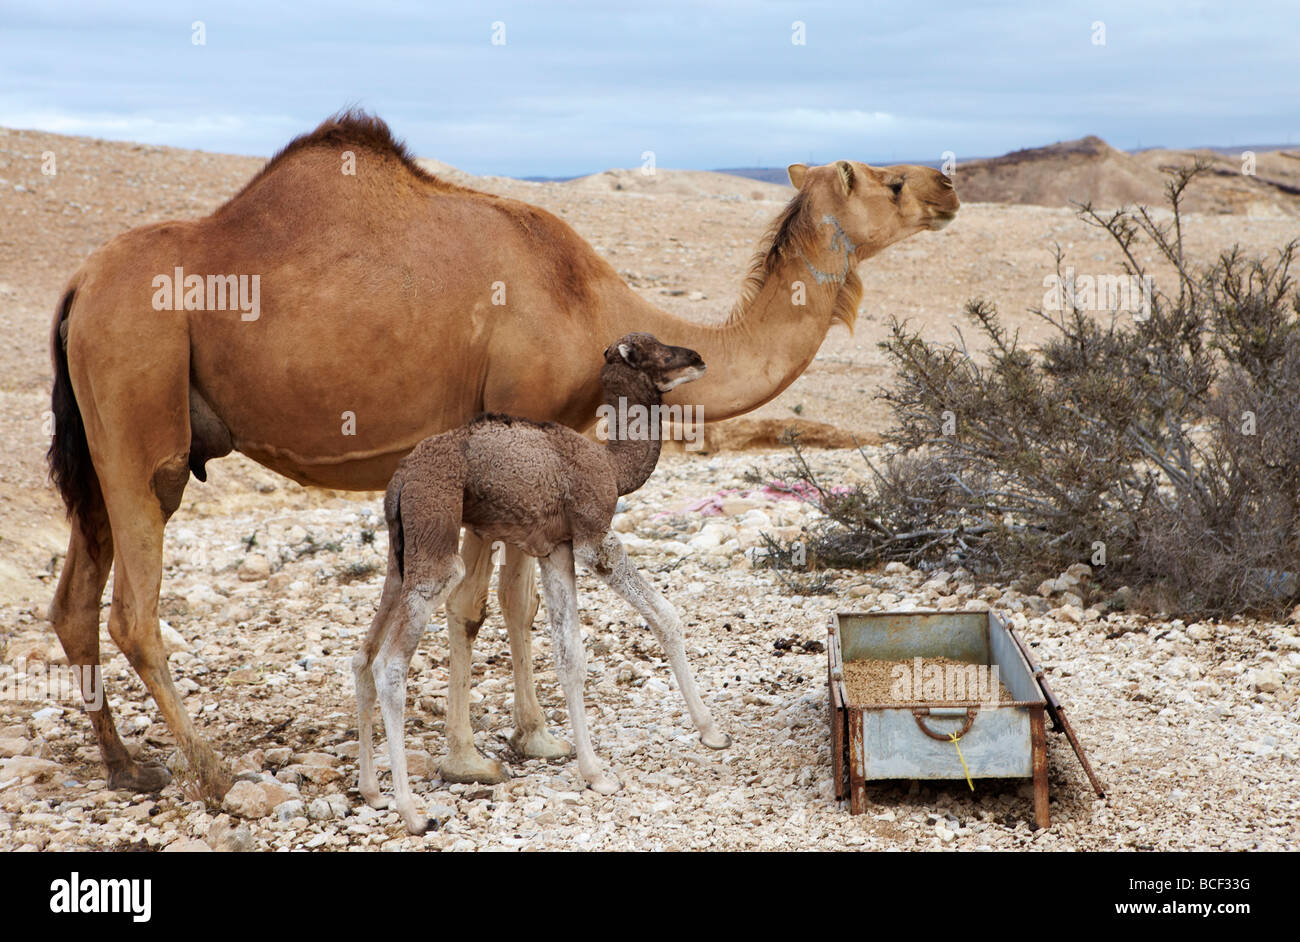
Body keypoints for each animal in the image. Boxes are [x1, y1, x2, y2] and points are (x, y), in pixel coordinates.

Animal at [356, 331, 733, 831]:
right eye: (652, 350)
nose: (697, 357)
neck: (610, 466)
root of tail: (401, 480)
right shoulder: (594, 537)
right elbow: (665, 616)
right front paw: (711, 731)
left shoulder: (556, 548)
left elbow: (569, 655)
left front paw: (594, 773)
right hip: (436, 539)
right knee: (391, 665)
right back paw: (412, 814)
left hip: (402, 555)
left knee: (363, 655)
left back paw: (372, 793)